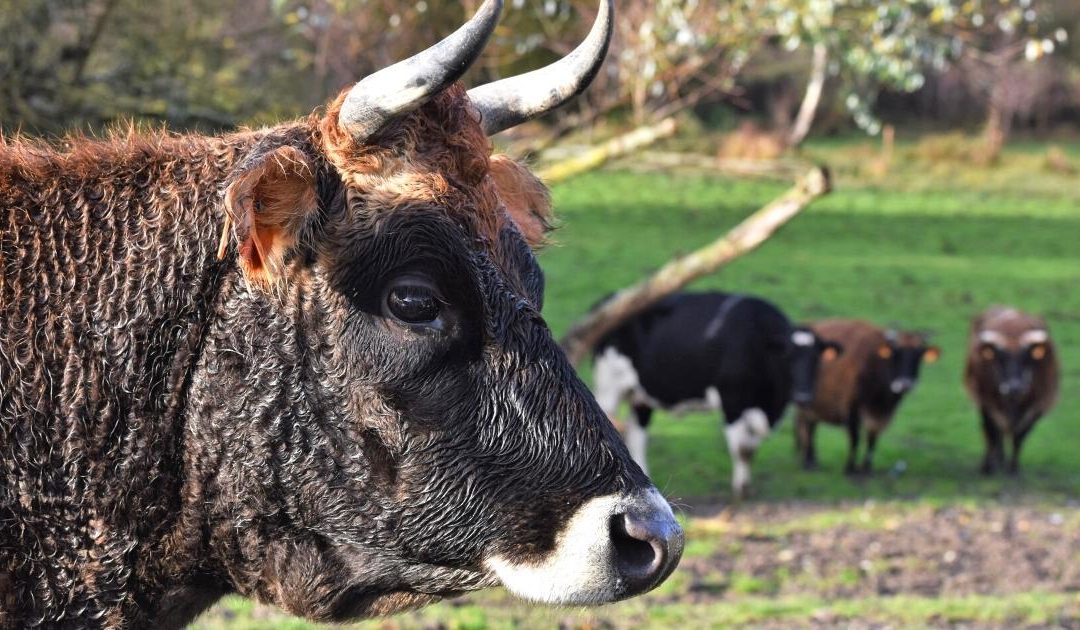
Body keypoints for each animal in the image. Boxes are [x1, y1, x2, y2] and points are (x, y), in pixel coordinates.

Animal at [591, 293, 842, 501]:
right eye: (788, 357)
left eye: (817, 359)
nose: (803, 396)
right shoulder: (732, 401)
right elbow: (742, 450)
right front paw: (740, 491)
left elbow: (751, 450)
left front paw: (748, 487)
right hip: (609, 388)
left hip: (641, 396)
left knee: (637, 434)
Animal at [794, 322, 937, 475]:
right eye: (896, 353)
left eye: (918, 355)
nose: (905, 384)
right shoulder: (852, 408)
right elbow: (855, 438)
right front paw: (850, 468)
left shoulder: (880, 415)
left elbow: (872, 439)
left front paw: (867, 468)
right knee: (807, 427)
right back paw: (808, 461)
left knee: (810, 425)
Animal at [967, 304, 1058, 473]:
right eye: (1000, 358)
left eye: (1026, 358)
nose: (1014, 387)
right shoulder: (986, 401)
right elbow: (991, 433)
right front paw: (987, 467)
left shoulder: (1038, 405)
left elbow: (1019, 436)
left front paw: (1013, 468)